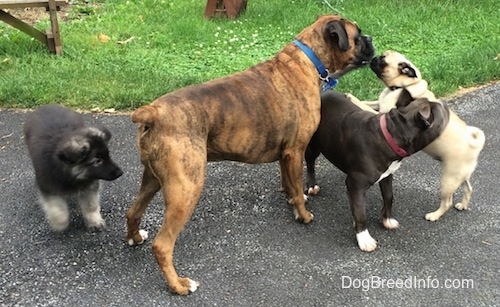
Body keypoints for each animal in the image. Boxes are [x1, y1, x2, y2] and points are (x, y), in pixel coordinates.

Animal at [23, 104, 123, 232]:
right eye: (97, 161)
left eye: (107, 155)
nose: (120, 172)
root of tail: (47, 105)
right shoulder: (48, 187)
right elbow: (57, 208)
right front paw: (60, 223)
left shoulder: (90, 185)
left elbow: (91, 205)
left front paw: (94, 221)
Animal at [126, 14, 376, 296]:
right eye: (358, 35)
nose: (371, 39)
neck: (309, 61)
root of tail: (153, 112)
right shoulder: (295, 151)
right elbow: (298, 183)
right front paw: (303, 215)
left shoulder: (286, 154)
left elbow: (289, 182)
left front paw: (291, 197)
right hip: (186, 189)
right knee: (163, 245)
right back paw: (179, 285)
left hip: (152, 179)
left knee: (133, 212)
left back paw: (135, 237)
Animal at [348, 51, 484, 223]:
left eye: (383, 61)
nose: (374, 57)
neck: (402, 86)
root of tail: (474, 144)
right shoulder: (379, 105)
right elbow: (367, 102)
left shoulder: (384, 115)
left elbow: (363, 106)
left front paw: (350, 97)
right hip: (461, 175)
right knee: (468, 188)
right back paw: (463, 205)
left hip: (449, 179)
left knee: (447, 201)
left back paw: (434, 215)